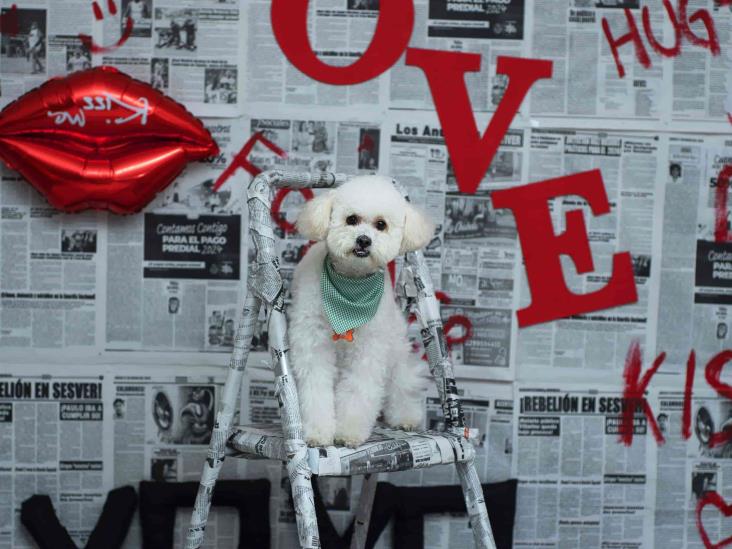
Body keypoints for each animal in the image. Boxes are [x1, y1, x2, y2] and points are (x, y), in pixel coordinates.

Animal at [288, 173, 434, 448]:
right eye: (351, 219)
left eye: (381, 225)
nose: (364, 240)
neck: (350, 290)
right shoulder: (313, 342)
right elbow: (316, 388)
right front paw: (318, 432)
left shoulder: (369, 349)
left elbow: (358, 389)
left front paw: (348, 432)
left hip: (395, 347)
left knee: (402, 381)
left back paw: (406, 416)